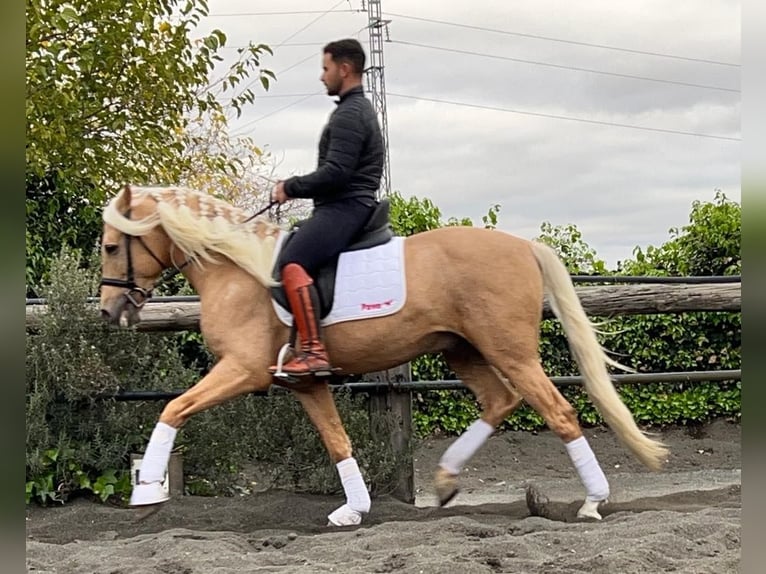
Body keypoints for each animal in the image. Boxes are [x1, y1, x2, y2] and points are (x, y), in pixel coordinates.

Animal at [99, 184, 668, 528]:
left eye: (109, 246)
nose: (108, 311)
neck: (237, 270)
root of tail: (522, 246)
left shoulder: (241, 370)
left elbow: (173, 407)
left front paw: (146, 492)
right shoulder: (305, 383)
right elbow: (337, 441)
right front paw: (354, 510)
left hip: (510, 352)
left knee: (559, 412)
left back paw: (592, 502)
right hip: (463, 351)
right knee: (499, 402)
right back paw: (445, 482)